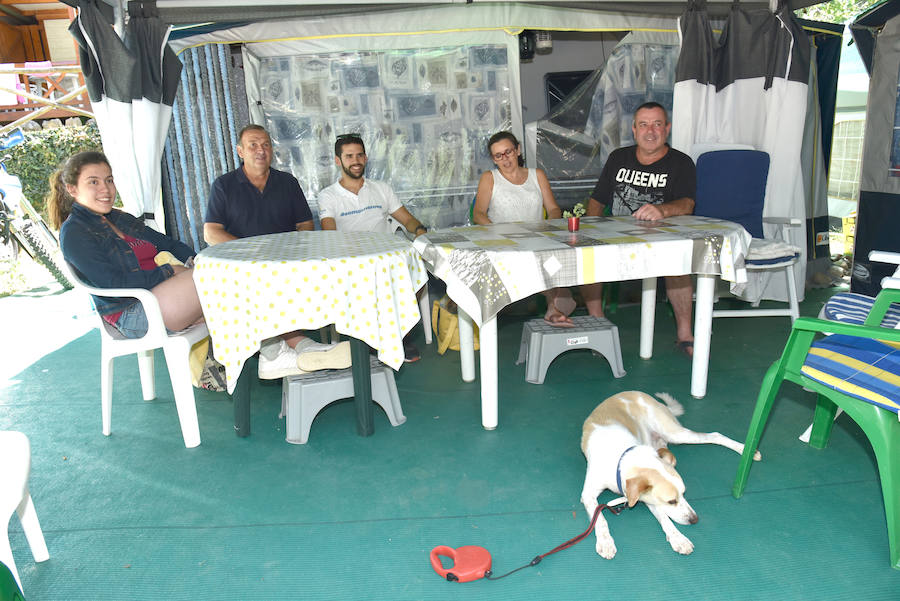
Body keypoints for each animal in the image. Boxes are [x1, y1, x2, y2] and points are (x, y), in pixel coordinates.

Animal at [580, 392, 764, 556]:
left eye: (684, 493)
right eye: (672, 501)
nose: (694, 519)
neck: (622, 457)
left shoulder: (649, 498)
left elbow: (665, 518)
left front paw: (678, 538)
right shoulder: (588, 495)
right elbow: (600, 519)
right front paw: (605, 542)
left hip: (675, 433)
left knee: (714, 435)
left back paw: (745, 450)